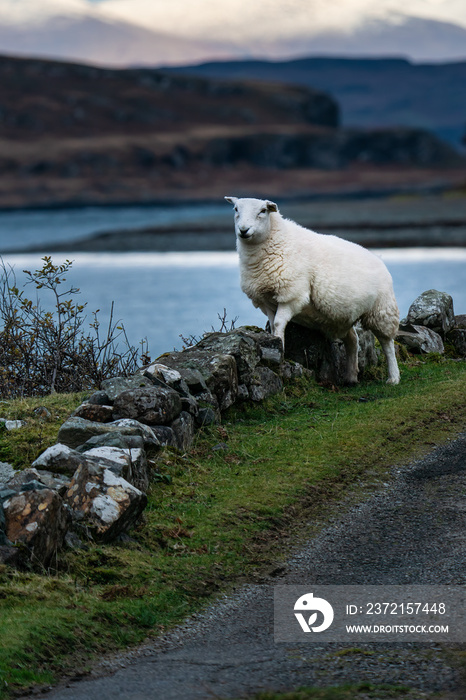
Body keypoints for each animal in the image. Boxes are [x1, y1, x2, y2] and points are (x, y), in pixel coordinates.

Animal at [224, 194, 398, 386]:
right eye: (236, 209)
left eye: (262, 211)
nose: (243, 230)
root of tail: (378, 258)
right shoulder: (266, 300)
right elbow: (272, 324)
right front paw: (275, 344)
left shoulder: (292, 295)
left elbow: (278, 324)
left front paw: (281, 351)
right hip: (342, 317)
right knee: (353, 339)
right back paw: (351, 376)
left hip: (381, 310)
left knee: (387, 344)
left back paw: (393, 377)